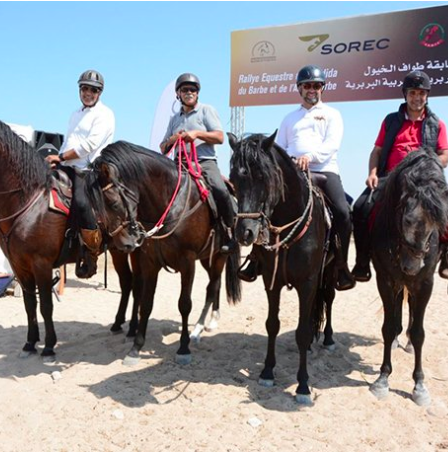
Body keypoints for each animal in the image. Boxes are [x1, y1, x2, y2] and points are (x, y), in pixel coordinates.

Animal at [0, 120, 137, 361]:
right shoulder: (19, 266)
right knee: (127, 282)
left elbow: (46, 305)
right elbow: (29, 304)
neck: (28, 201)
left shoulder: (41, 264)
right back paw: (119, 324)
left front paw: (48, 346)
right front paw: (29, 343)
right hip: (119, 249)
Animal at [85, 140, 242, 366]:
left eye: (113, 203)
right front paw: (135, 348)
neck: (169, 204)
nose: (125, 244)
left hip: (220, 256)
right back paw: (211, 320)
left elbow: (184, 304)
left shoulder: (187, 262)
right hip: (207, 257)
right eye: (95, 209)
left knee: (212, 287)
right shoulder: (150, 262)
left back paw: (200, 329)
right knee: (217, 284)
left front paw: (183, 348)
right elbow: (145, 303)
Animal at [228, 132, 336, 405]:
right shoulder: (271, 280)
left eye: (262, 177)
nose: (245, 233)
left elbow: (302, 331)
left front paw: (303, 386)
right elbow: (272, 325)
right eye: (233, 180)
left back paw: (329, 339)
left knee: (329, 299)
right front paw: (267, 372)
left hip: (330, 274)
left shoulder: (308, 284)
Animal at [369, 148, 448, 406]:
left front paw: (419, 385)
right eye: (406, 219)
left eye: (438, 223)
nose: (411, 267)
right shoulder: (385, 279)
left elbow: (419, 332)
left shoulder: (425, 284)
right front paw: (382, 379)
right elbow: (387, 327)